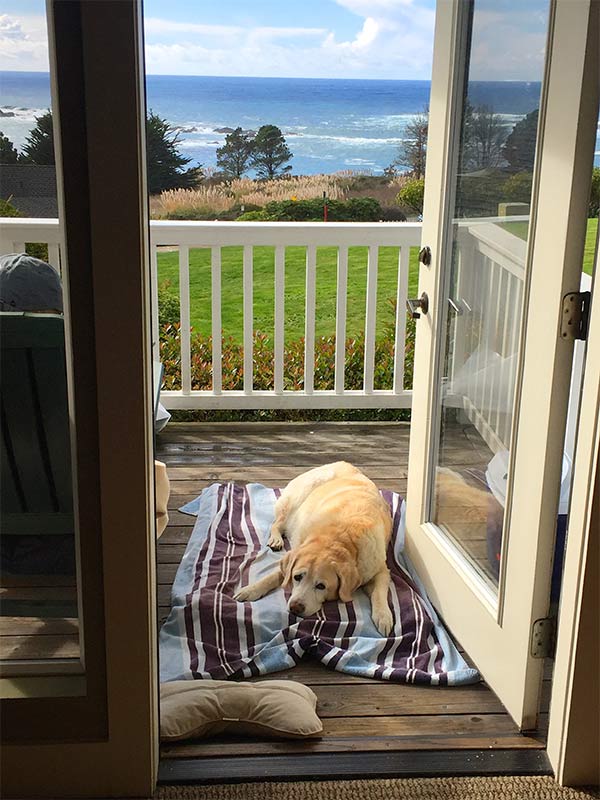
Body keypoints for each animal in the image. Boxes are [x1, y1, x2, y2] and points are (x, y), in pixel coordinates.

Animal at [233, 462, 394, 636]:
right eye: (297, 577)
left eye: (321, 586)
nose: (295, 607)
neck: (341, 537)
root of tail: (343, 463)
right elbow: (275, 575)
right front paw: (250, 590)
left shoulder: (380, 570)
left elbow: (379, 593)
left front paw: (383, 616)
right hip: (295, 501)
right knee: (277, 523)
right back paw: (276, 539)